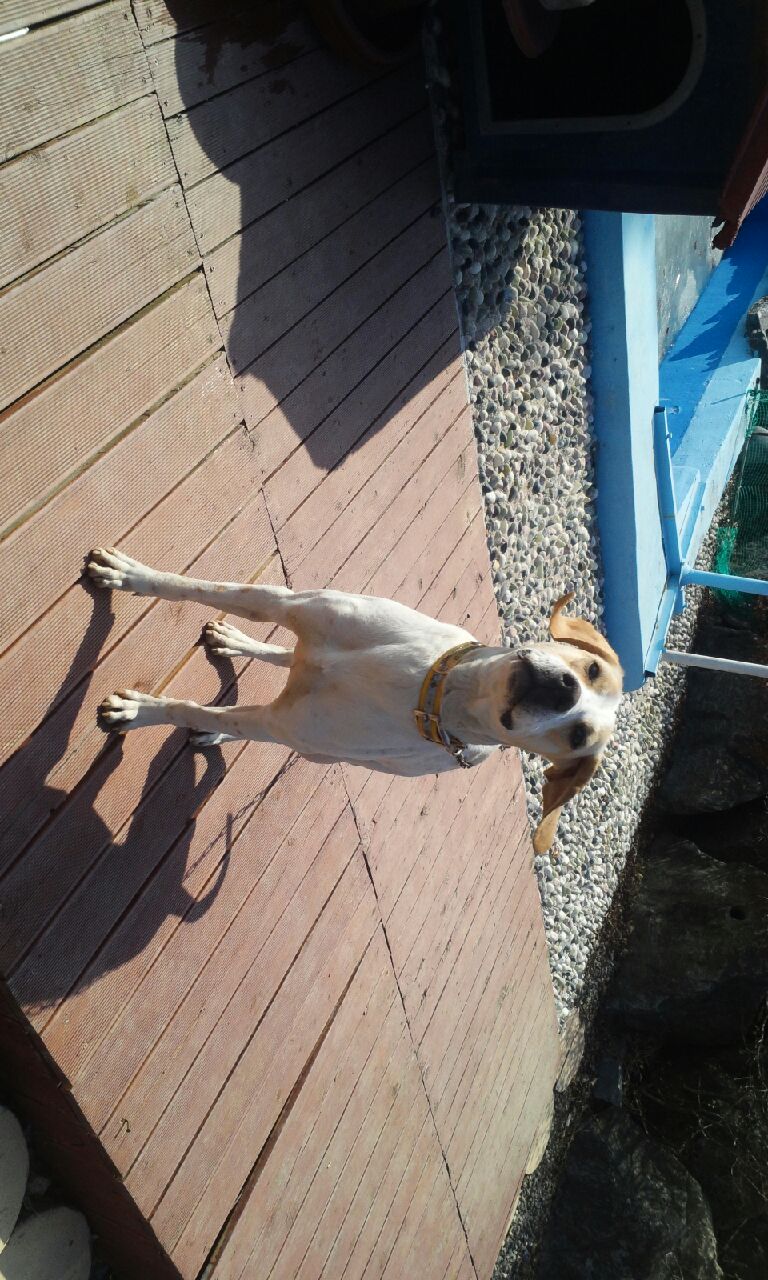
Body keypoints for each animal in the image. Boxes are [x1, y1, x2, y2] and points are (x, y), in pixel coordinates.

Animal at [86, 547, 622, 852]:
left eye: (578, 736)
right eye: (591, 669)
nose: (564, 689)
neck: (432, 683)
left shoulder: (286, 724)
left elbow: (194, 709)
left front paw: (137, 712)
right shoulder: (288, 602)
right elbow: (200, 588)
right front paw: (127, 574)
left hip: (317, 747)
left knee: (250, 712)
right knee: (282, 656)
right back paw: (235, 643)